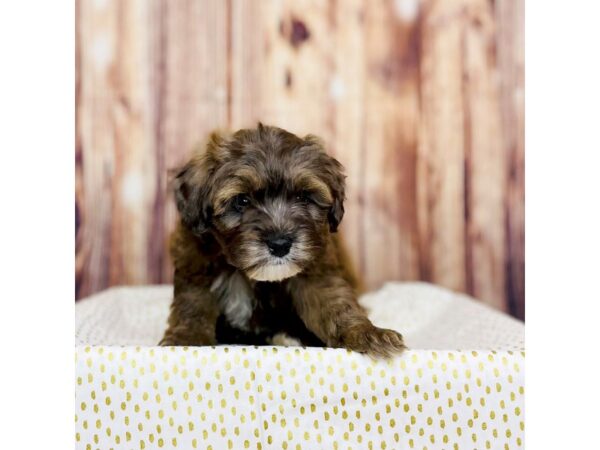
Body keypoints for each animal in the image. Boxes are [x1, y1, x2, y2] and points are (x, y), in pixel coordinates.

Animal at [159, 124, 406, 358]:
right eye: (242, 200)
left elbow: (334, 303)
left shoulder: (317, 271)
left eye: (303, 197)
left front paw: (365, 333)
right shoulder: (196, 266)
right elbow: (193, 306)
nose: (280, 245)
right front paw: (185, 340)